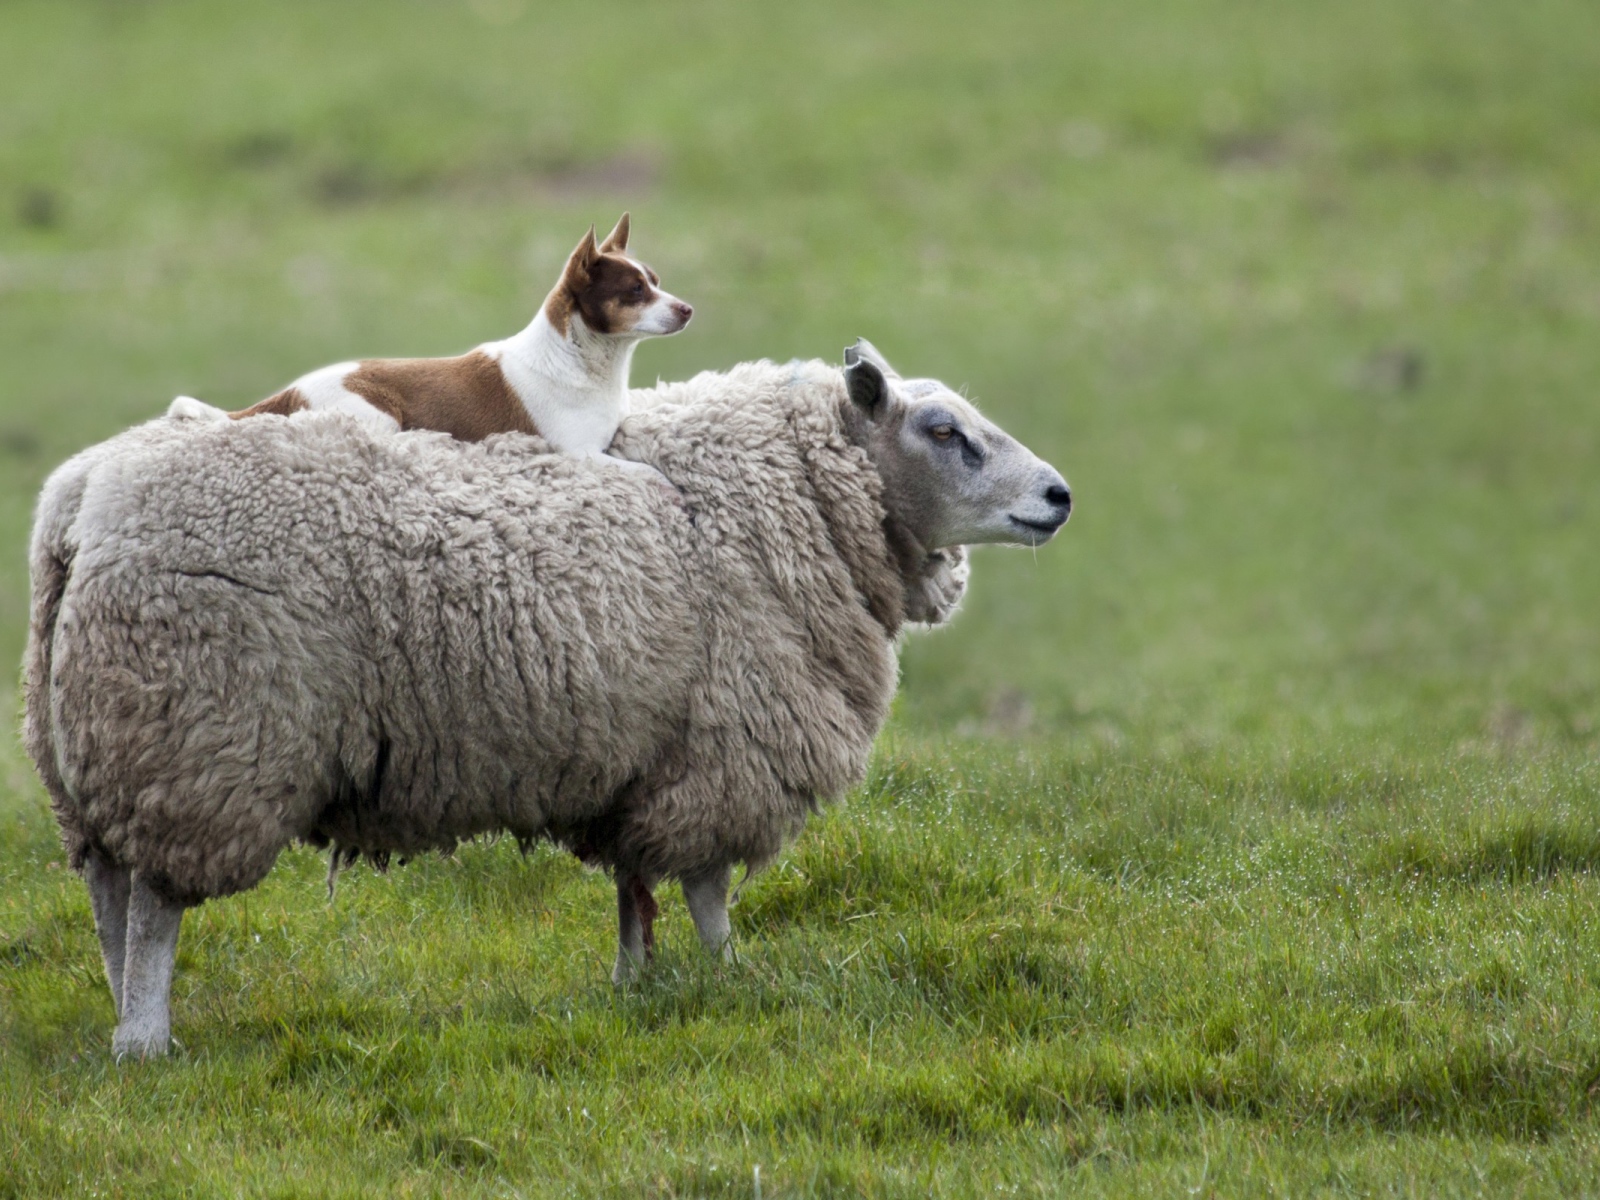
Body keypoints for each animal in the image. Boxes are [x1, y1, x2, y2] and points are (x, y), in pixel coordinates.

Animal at [23, 340, 1071, 1058]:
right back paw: (147, 1039)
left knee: (109, 892)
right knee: (155, 904)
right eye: (944, 432)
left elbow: (634, 890)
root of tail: (83, 502)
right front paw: (731, 979)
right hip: (196, 737)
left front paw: (636, 988)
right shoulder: (726, 750)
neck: (787, 499)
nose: (1059, 496)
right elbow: (706, 890)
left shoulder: (643, 760)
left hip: (94, 745)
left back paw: (123, 1015)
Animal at [169, 214, 691, 453]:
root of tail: (289, 392)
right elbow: (649, 478)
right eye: (634, 291)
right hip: (378, 420)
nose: (688, 309)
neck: (586, 364)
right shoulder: (579, 455)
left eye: (656, 281)